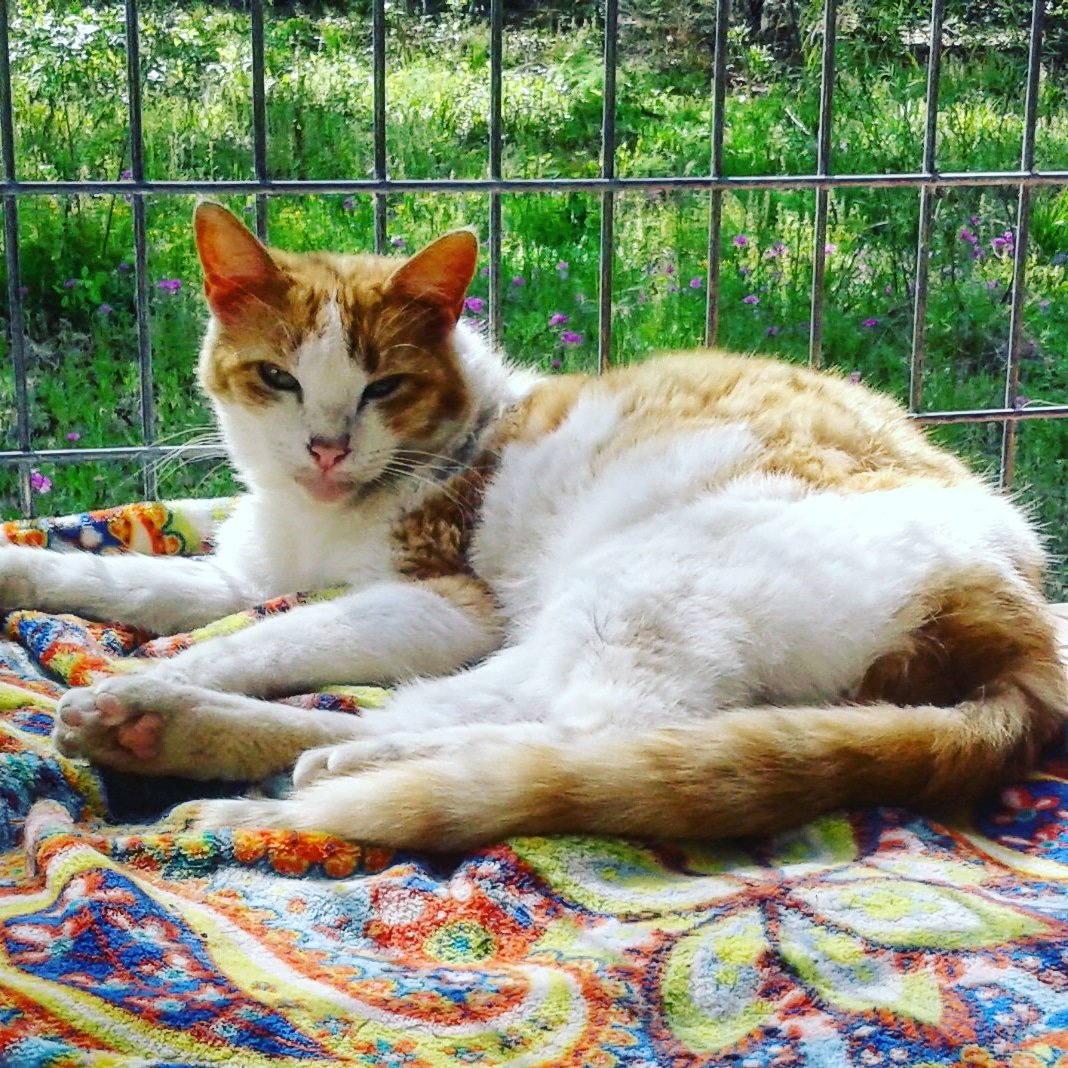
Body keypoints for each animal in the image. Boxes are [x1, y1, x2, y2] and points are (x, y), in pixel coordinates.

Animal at [2, 203, 1068, 845]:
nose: (326, 447)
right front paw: (31, 570)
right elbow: (144, 582)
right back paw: (181, 740)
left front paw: (154, 672)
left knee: (590, 731)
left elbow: (266, 636)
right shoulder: (242, 570)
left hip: (633, 583)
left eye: (383, 387)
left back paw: (243, 765)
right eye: (279, 378)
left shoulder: (442, 602)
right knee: (480, 715)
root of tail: (1019, 609)